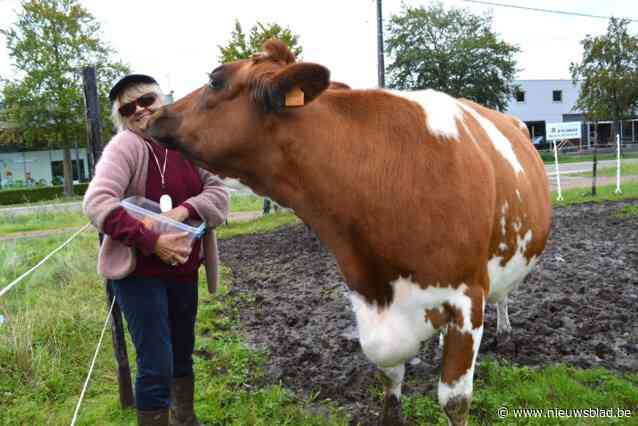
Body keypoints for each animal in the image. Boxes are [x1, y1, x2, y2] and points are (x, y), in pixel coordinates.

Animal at [144, 38, 552, 424]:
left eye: (215, 79)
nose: (154, 114)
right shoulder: (367, 297)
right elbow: (389, 383)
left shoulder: (466, 296)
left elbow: (455, 401)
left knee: (502, 295)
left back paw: (505, 331)